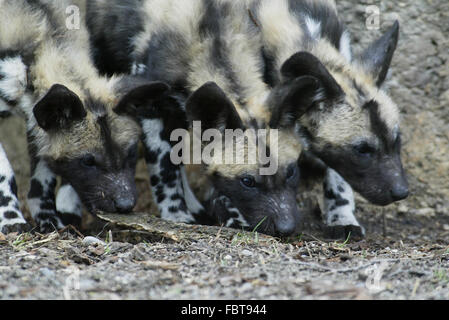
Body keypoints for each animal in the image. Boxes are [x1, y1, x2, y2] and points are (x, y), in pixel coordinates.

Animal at [0, 0, 168, 232]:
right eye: (87, 161)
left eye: (131, 153)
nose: (125, 204)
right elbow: (6, 175)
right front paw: (12, 220)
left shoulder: (36, 124)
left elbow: (42, 183)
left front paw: (50, 222)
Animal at [85, 0, 326, 235]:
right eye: (247, 181)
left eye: (291, 172)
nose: (287, 228)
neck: (214, 43)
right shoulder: (152, 111)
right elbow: (165, 172)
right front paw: (177, 217)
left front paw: (229, 214)